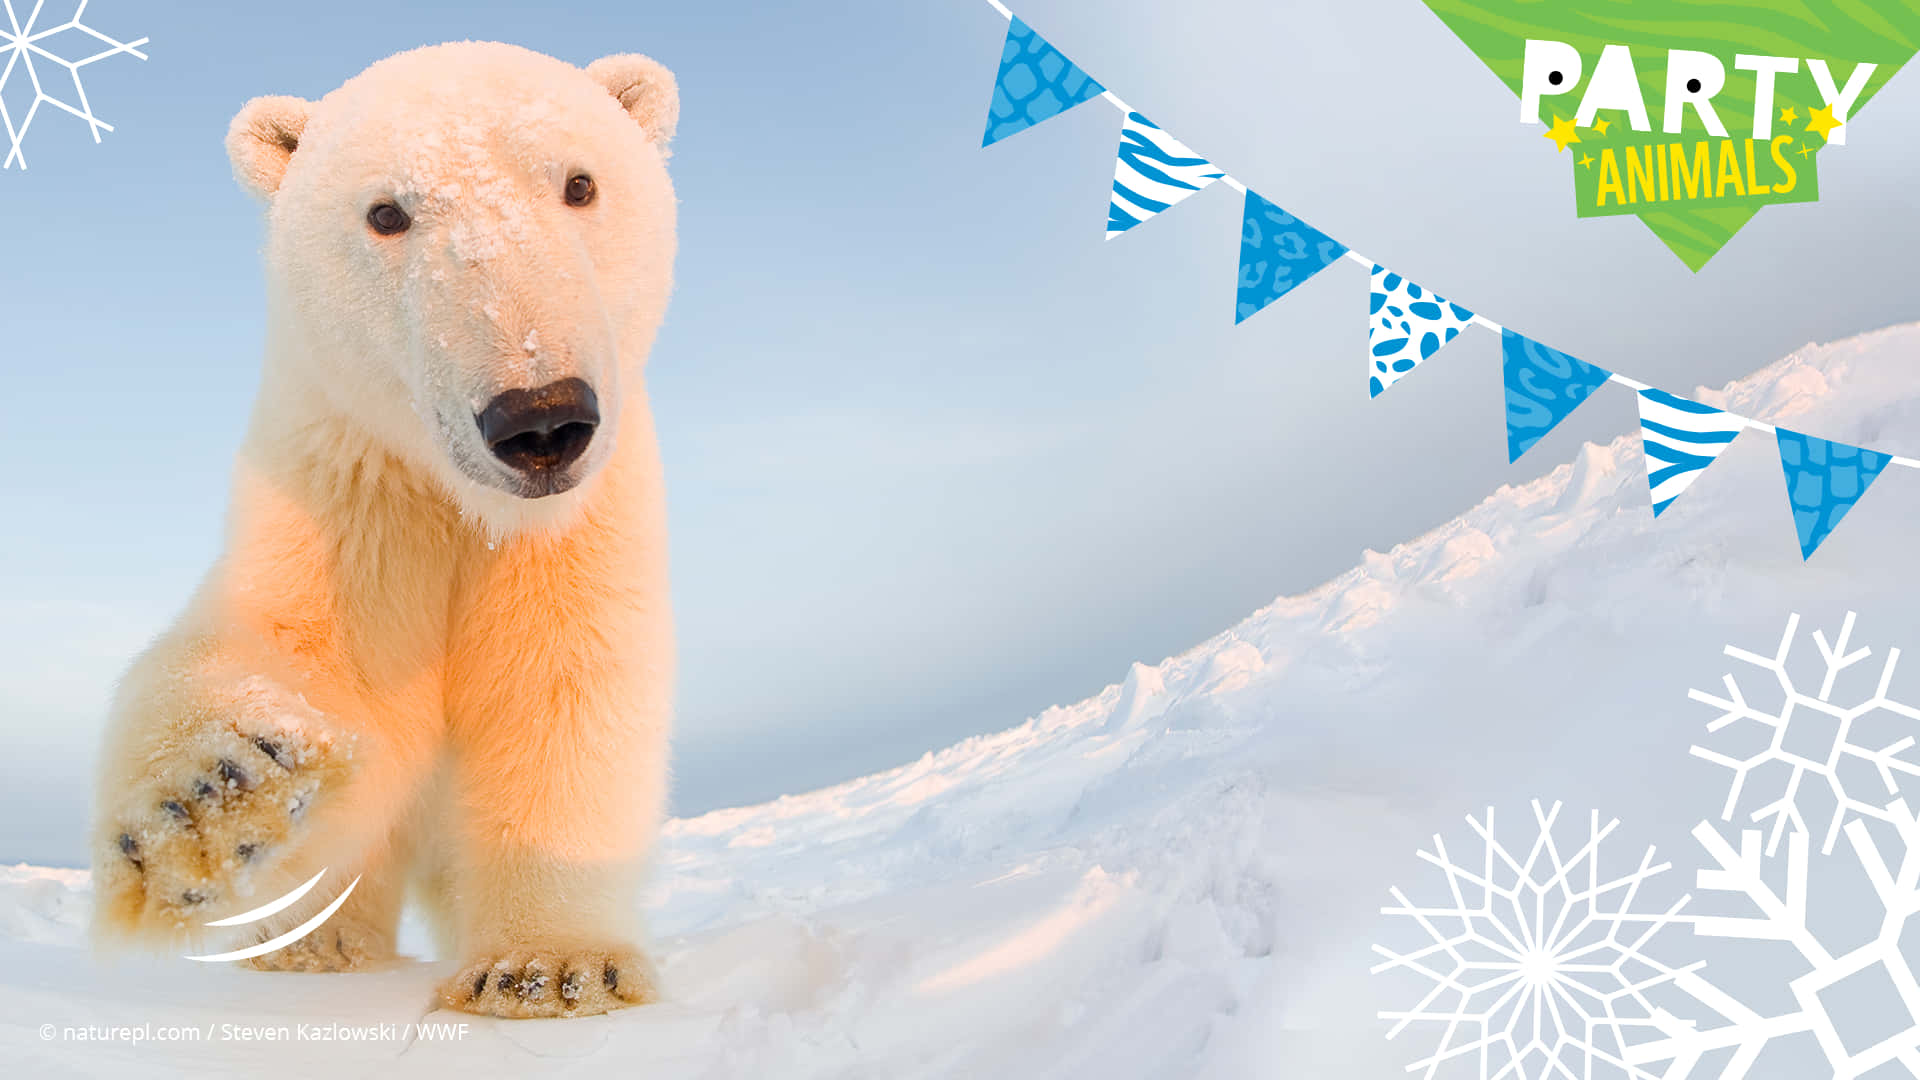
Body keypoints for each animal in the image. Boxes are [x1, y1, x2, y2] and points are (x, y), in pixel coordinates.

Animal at [89, 41, 681, 1019]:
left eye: (580, 183)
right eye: (386, 213)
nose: (540, 418)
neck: (459, 505)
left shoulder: (577, 530)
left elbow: (561, 692)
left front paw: (549, 968)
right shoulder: (348, 495)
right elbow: (313, 662)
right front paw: (213, 796)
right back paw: (308, 947)